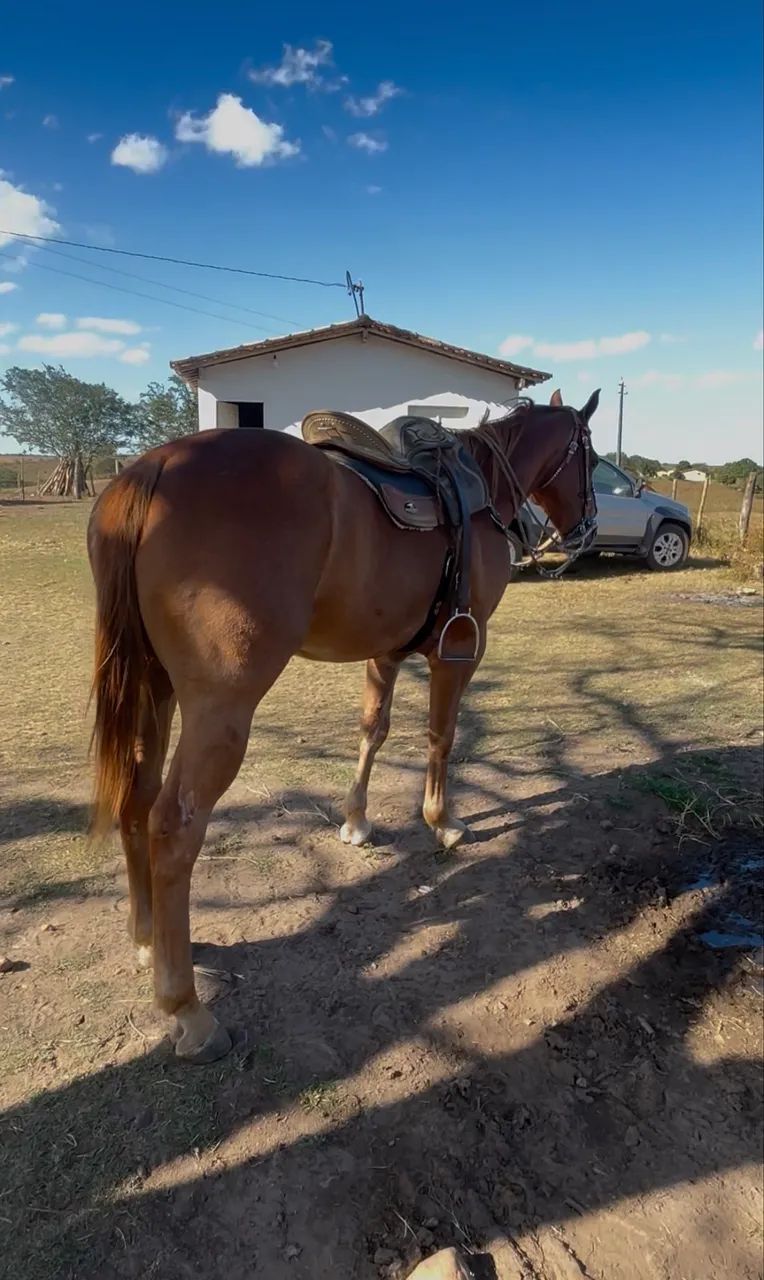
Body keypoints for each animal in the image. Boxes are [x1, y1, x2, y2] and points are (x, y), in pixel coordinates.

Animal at [87, 387, 600, 1063]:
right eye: (590, 454)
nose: (588, 526)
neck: (481, 488)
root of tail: (159, 465)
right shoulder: (460, 650)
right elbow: (441, 736)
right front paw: (443, 821)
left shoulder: (386, 653)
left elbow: (372, 731)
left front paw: (356, 821)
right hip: (219, 708)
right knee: (173, 827)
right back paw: (188, 1010)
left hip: (153, 686)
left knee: (137, 797)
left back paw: (147, 938)